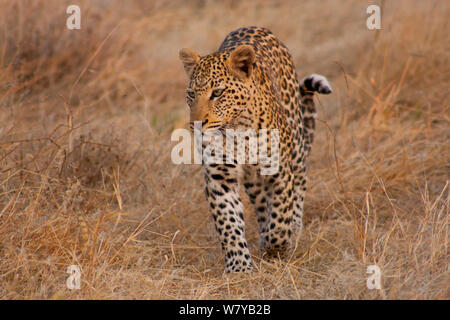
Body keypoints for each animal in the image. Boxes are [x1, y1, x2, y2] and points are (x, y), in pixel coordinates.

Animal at [178, 26, 330, 274]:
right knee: (260, 205)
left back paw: (294, 231)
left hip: (296, 145)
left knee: (299, 184)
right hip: (254, 181)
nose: (197, 124)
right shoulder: (220, 178)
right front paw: (239, 267)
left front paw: (277, 245)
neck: (238, 130)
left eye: (217, 93)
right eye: (191, 94)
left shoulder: (279, 170)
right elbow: (228, 222)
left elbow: (281, 214)